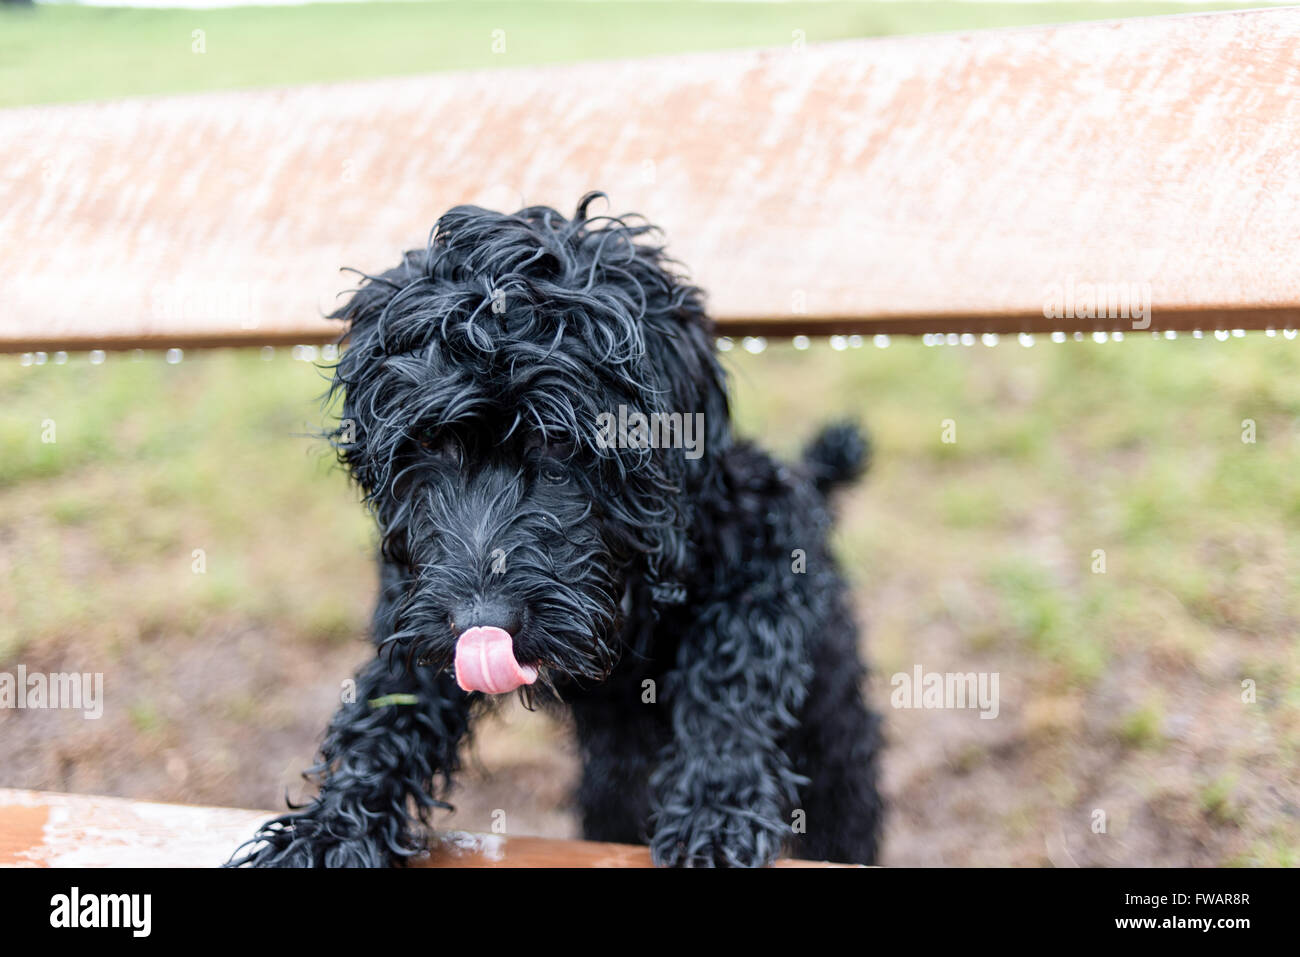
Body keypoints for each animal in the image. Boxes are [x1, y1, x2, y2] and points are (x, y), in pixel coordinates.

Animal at [233, 192, 883, 868]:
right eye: (430, 441)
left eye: (559, 442)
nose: (483, 625)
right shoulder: (420, 605)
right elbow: (387, 710)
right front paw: (327, 830)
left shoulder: (769, 539)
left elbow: (731, 674)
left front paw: (716, 814)